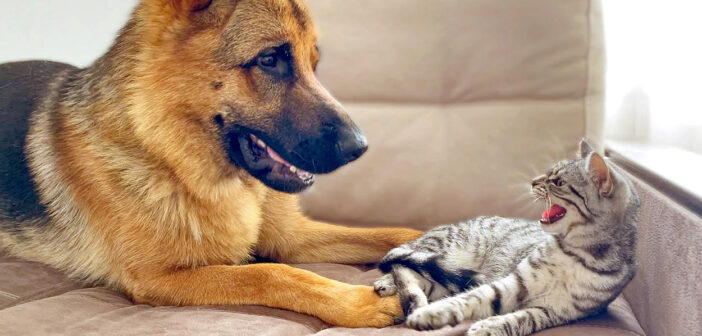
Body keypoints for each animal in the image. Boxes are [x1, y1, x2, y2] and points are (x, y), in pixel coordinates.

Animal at [0, 0, 418, 326]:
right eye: (269, 60)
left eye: (313, 64)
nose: (360, 148)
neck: (167, 156)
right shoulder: (159, 278)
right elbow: (270, 273)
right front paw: (359, 302)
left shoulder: (292, 238)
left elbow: (391, 233)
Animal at [376, 140, 640, 334]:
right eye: (548, 174)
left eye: (558, 181)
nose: (533, 182)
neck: (576, 252)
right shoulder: (513, 282)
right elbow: (471, 298)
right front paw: (431, 314)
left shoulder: (556, 311)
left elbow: (520, 320)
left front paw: (489, 327)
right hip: (448, 249)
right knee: (403, 263)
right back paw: (404, 294)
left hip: (448, 276)